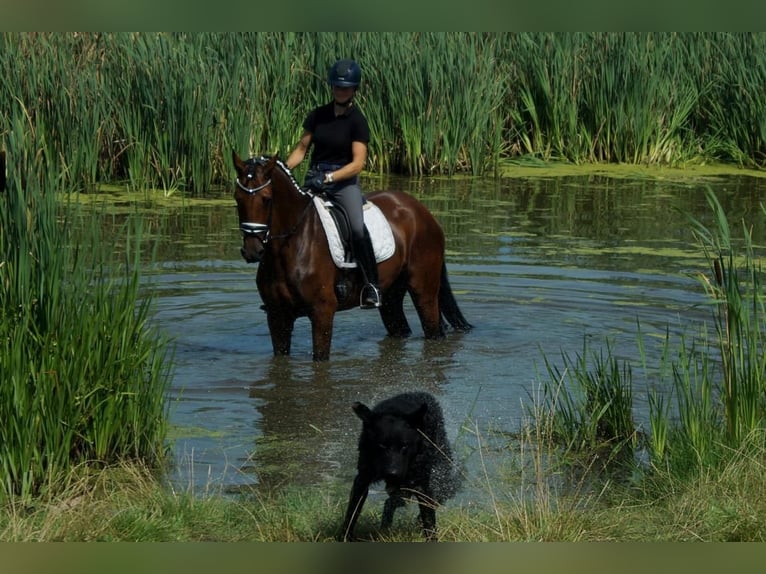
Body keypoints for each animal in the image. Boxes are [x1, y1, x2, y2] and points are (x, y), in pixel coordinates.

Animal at [234, 151, 474, 362]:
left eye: (266, 199)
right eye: (237, 199)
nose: (253, 251)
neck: (289, 246)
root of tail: (422, 212)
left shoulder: (322, 312)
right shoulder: (277, 316)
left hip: (424, 291)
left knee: (432, 330)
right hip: (391, 296)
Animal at [340, 394, 456, 544]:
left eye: (404, 446)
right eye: (382, 446)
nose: (392, 473)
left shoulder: (422, 486)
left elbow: (429, 522)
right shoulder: (362, 480)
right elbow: (352, 513)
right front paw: (344, 537)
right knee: (390, 503)